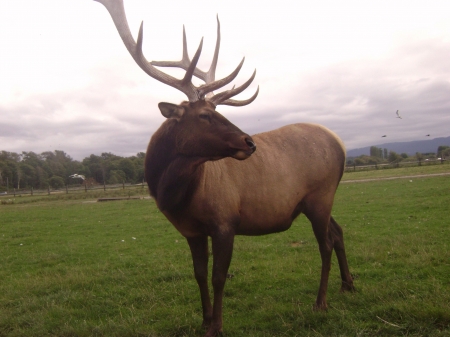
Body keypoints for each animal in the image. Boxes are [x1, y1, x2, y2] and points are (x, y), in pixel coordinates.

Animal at [95, 1, 356, 334]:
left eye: (216, 110)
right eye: (205, 115)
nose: (249, 142)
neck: (174, 196)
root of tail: (340, 143)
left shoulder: (224, 221)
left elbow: (219, 276)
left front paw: (216, 325)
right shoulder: (191, 230)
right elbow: (198, 274)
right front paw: (204, 319)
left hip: (320, 196)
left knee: (325, 243)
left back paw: (320, 302)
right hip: (316, 201)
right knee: (338, 231)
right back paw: (348, 284)